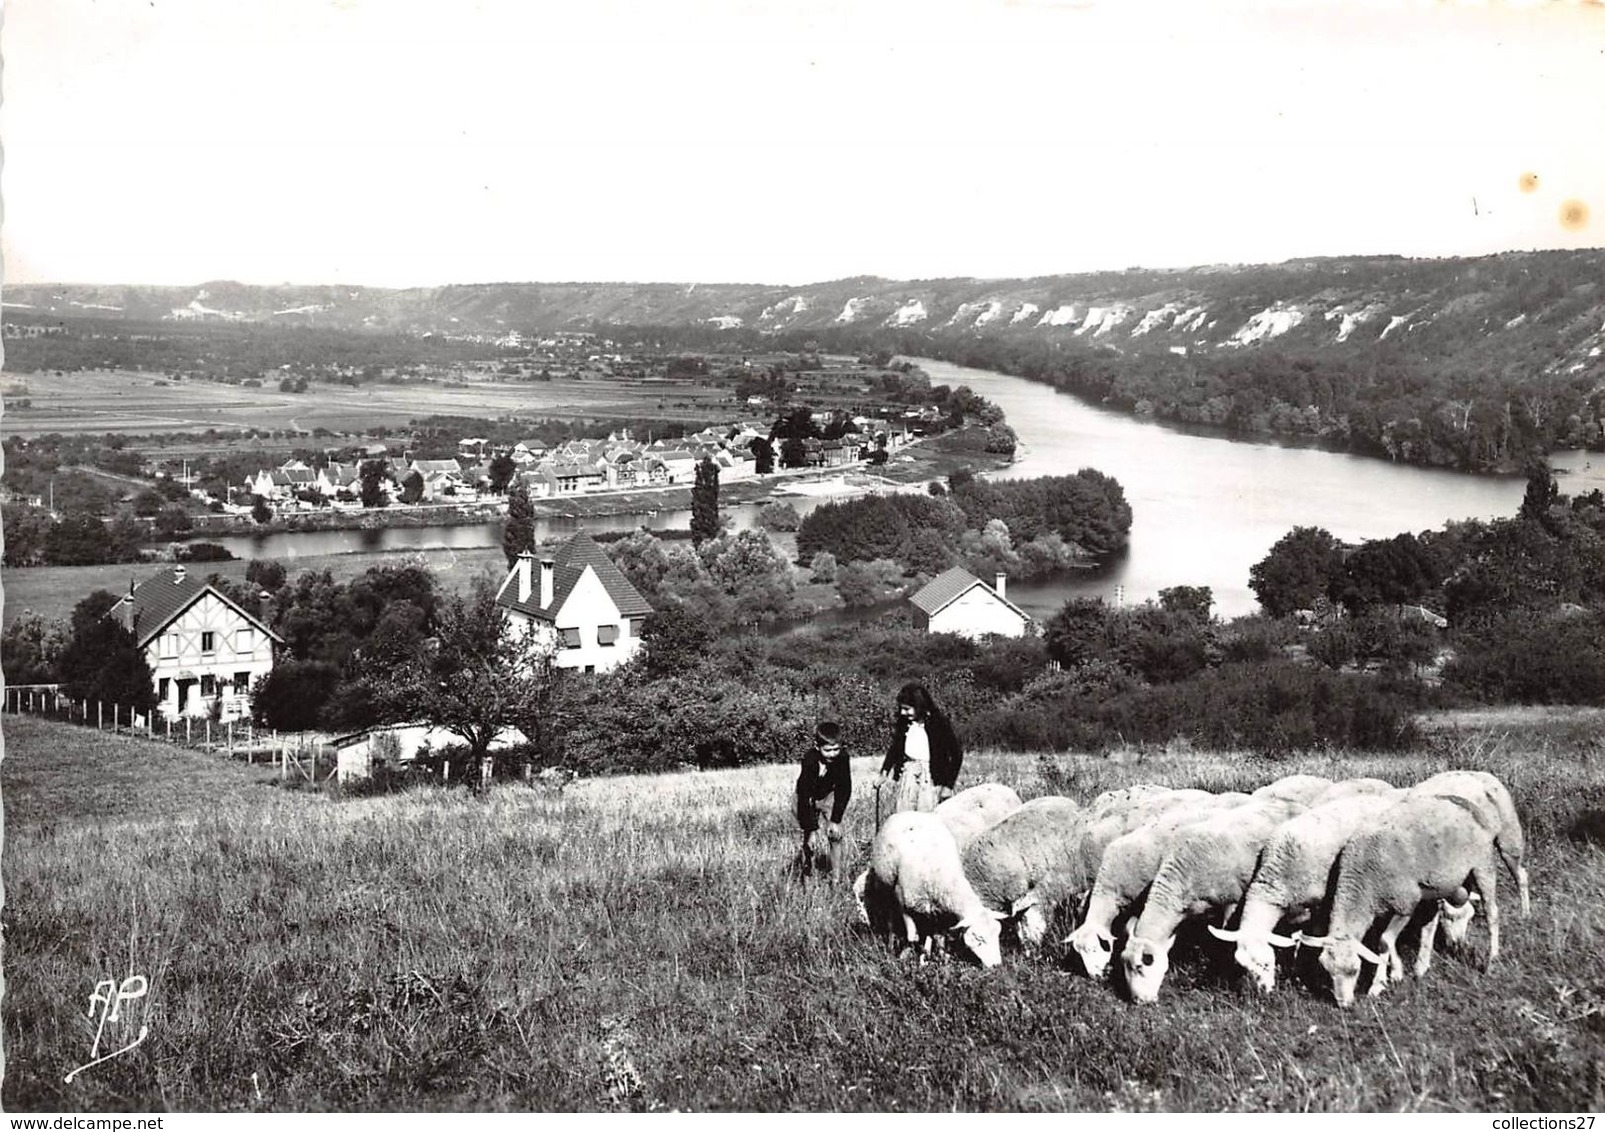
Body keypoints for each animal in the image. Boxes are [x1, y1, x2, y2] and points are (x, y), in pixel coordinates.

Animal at [853, 812, 1001, 963]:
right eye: (979, 938)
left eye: (998, 934)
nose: (997, 965)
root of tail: (908, 812)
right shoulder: (905, 905)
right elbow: (912, 937)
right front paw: (905, 956)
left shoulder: (940, 912)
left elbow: (938, 936)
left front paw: (936, 958)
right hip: (885, 884)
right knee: (889, 915)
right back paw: (890, 942)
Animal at [1296, 796, 1495, 1008]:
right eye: (1326, 969)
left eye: (1355, 970)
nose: (1344, 1005)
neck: (1363, 879)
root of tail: (1462, 801)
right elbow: (1388, 941)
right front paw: (1396, 972)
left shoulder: (1405, 904)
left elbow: (1384, 941)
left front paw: (1378, 984)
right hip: (1435, 886)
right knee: (1431, 923)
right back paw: (1421, 967)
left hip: (1483, 863)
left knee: (1492, 913)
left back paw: (1491, 961)